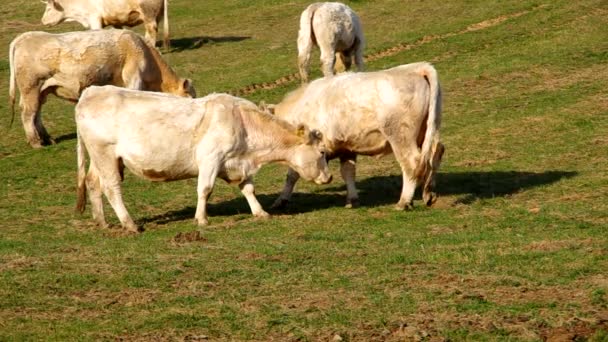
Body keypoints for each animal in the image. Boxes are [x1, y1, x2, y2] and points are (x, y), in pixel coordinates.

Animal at [8, 29, 195, 147]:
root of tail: (24, 37)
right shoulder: (134, 77)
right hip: (30, 87)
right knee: (28, 113)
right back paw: (36, 142)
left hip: (40, 90)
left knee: (36, 113)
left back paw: (47, 139)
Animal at [40, 0, 170, 48]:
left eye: (49, 9)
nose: (42, 21)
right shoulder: (115, 22)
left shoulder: (94, 19)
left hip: (149, 16)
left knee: (152, 32)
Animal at [75, 85, 332, 232]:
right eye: (322, 152)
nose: (329, 177)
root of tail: (91, 92)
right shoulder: (210, 159)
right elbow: (205, 190)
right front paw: (201, 219)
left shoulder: (238, 164)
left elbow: (248, 189)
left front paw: (260, 213)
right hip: (105, 155)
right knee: (111, 188)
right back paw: (129, 224)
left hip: (99, 159)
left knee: (93, 183)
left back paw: (102, 222)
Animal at [268, 62, 444, 211]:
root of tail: (416, 68)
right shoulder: (346, 148)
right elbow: (348, 172)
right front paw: (352, 199)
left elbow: (292, 175)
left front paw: (281, 200)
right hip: (428, 130)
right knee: (436, 152)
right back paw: (429, 193)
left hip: (401, 137)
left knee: (411, 163)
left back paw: (404, 201)